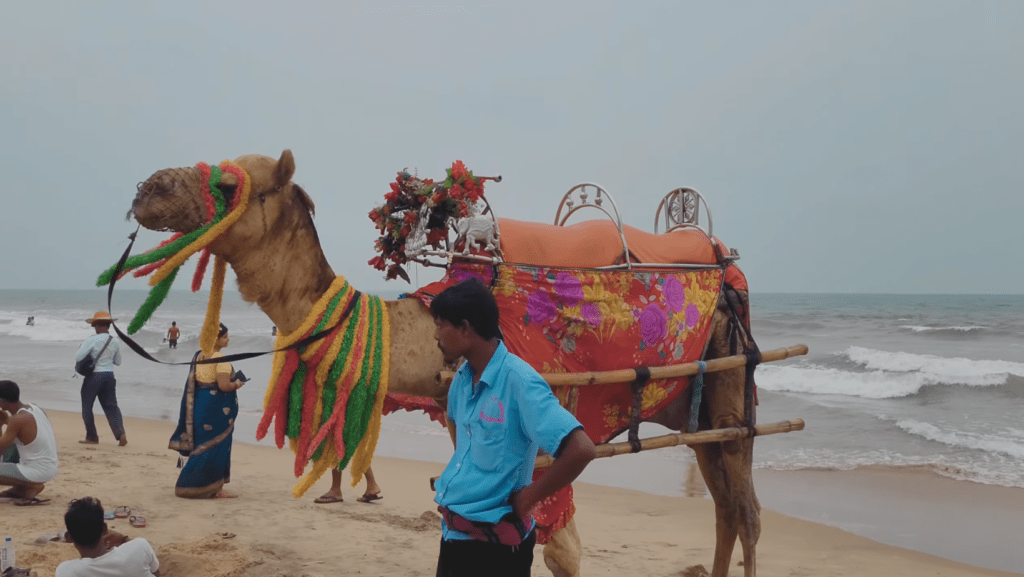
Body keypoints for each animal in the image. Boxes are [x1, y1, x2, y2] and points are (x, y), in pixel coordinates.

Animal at [112, 150, 798, 577]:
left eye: (228, 185)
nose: (145, 190)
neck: (432, 332)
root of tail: (715, 252)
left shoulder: (547, 432)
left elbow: (562, 551)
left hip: (728, 375)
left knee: (746, 511)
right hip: (695, 406)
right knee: (725, 509)